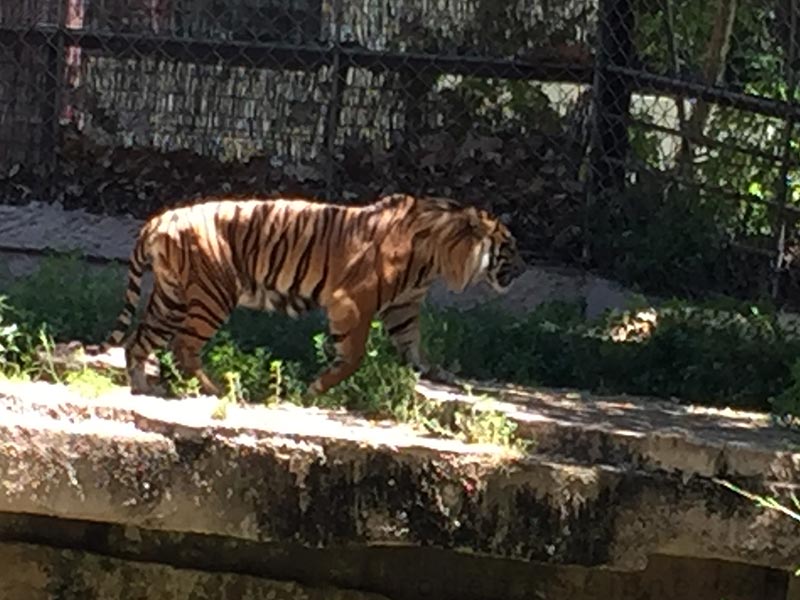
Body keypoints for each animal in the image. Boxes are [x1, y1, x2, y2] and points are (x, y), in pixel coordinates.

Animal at [104, 193, 524, 398]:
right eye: (511, 247)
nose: (522, 270)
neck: (437, 259)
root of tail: (159, 219)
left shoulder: (403, 307)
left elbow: (413, 344)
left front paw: (432, 371)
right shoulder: (352, 300)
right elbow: (353, 356)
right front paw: (315, 390)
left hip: (171, 297)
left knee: (138, 341)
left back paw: (141, 387)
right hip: (211, 295)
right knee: (182, 347)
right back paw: (214, 390)